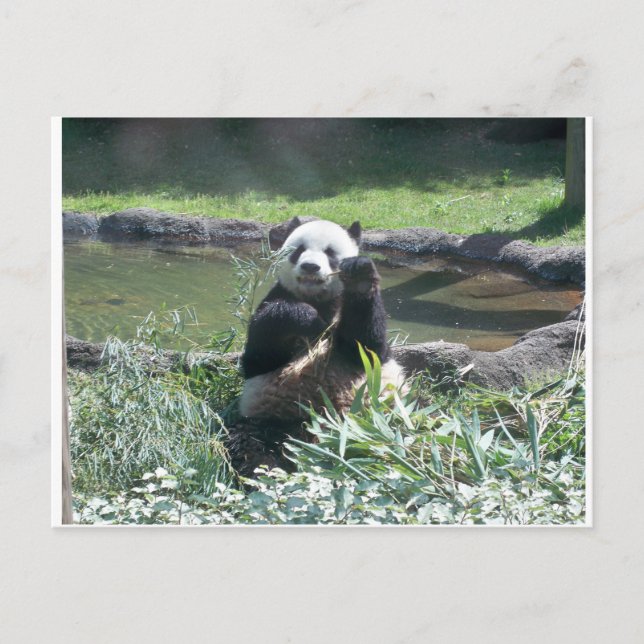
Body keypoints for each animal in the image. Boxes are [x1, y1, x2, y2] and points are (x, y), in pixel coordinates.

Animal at [227, 218, 405, 477]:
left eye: (330, 253)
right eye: (299, 249)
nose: (310, 267)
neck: (317, 299)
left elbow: (368, 349)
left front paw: (359, 277)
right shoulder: (277, 297)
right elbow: (259, 353)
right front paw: (309, 320)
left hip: (385, 417)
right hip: (272, 419)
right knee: (249, 443)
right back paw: (267, 472)